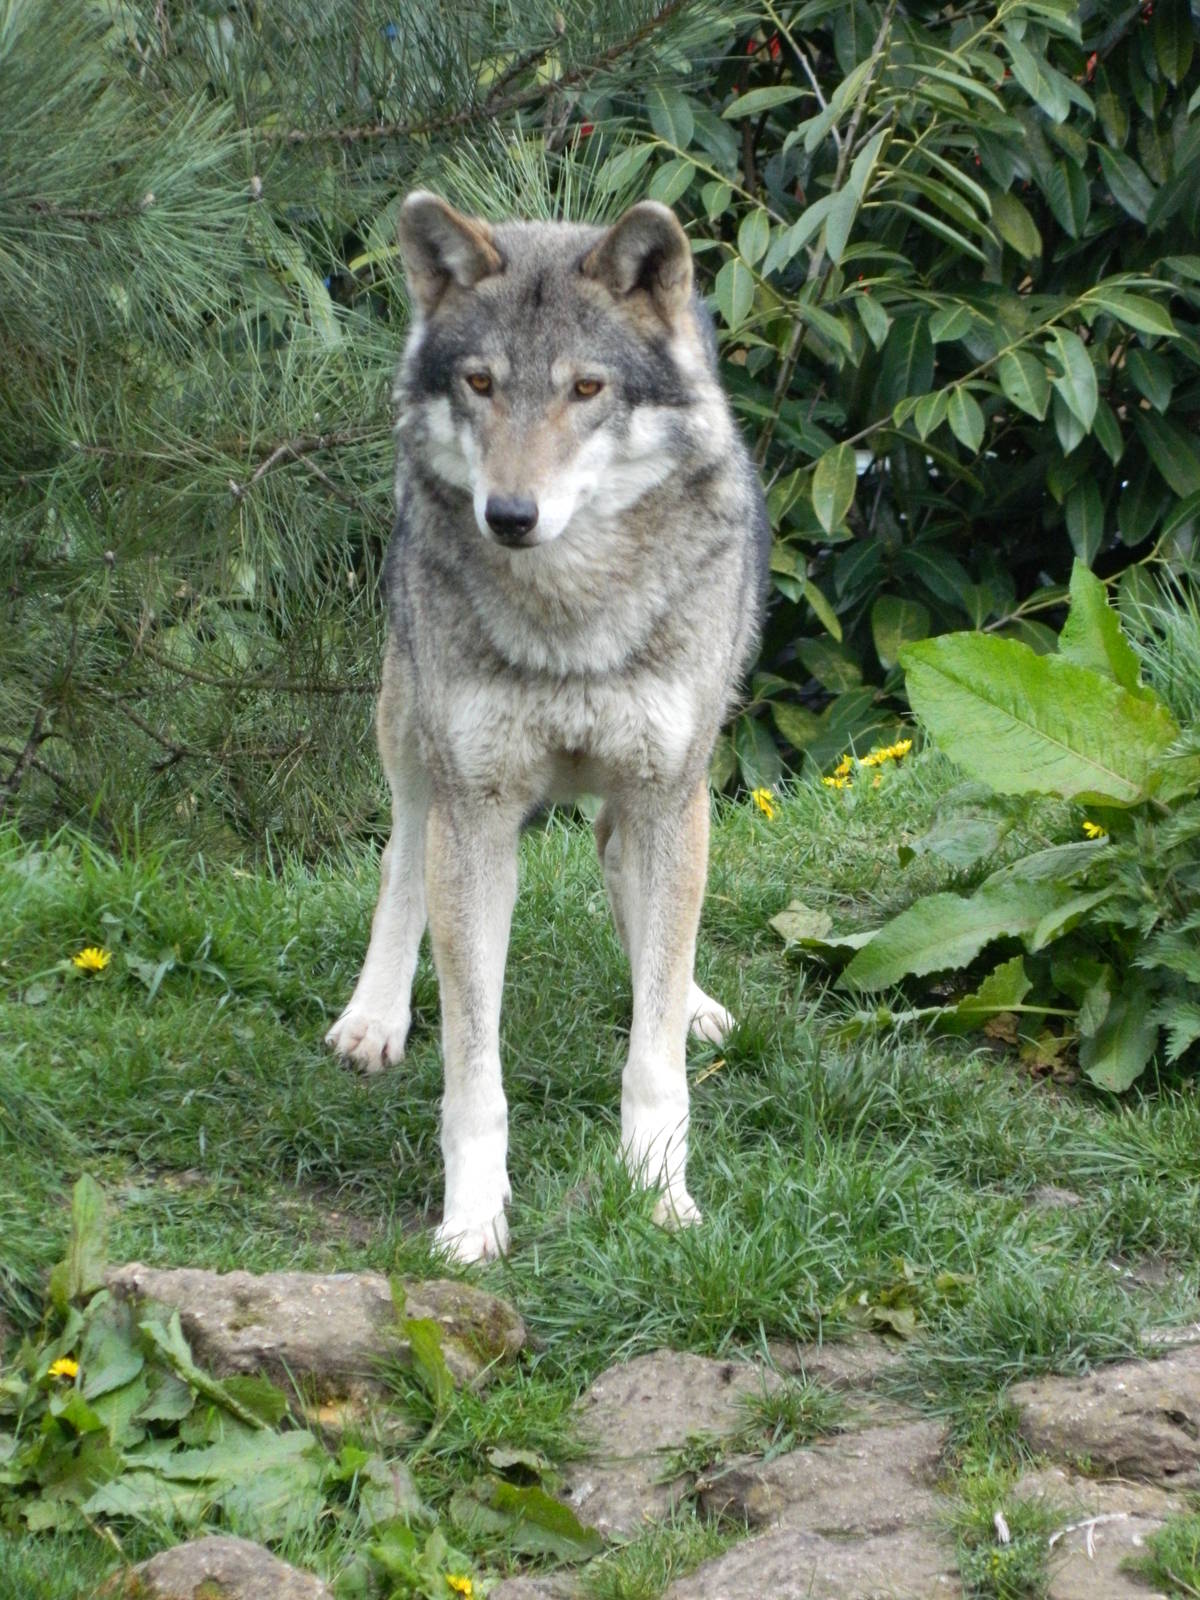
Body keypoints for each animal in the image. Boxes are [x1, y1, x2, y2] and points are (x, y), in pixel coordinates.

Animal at [326, 191, 768, 1264]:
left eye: (586, 388)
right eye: (482, 383)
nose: (510, 514)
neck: (573, 619)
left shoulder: (667, 791)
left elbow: (653, 1052)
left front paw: (658, 1191)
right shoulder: (478, 812)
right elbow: (472, 1074)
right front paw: (471, 1219)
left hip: (677, 776)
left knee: (628, 877)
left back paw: (691, 999)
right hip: (411, 733)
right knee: (402, 851)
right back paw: (374, 1017)